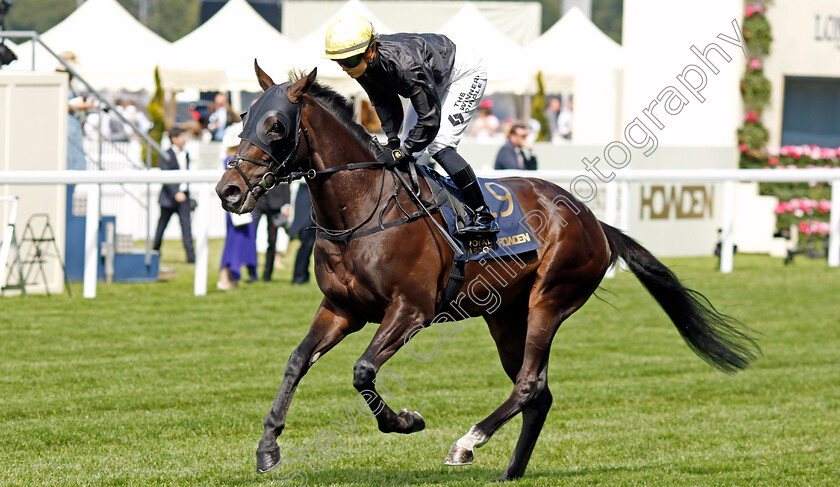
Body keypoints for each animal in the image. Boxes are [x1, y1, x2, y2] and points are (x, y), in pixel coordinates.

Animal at [213, 65, 756, 484]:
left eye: (276, 125)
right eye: (243, 117)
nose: (228, 191)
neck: (364, 210)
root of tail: (593, 221)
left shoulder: (410, 310)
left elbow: (363, 370)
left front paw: (406, 421)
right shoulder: (342, 309)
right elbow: (296, 361)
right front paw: (268, 447)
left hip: (549, 300)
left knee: (529, 385)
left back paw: (466, 443)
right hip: (504, 316)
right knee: (539, 392)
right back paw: (511, 471)